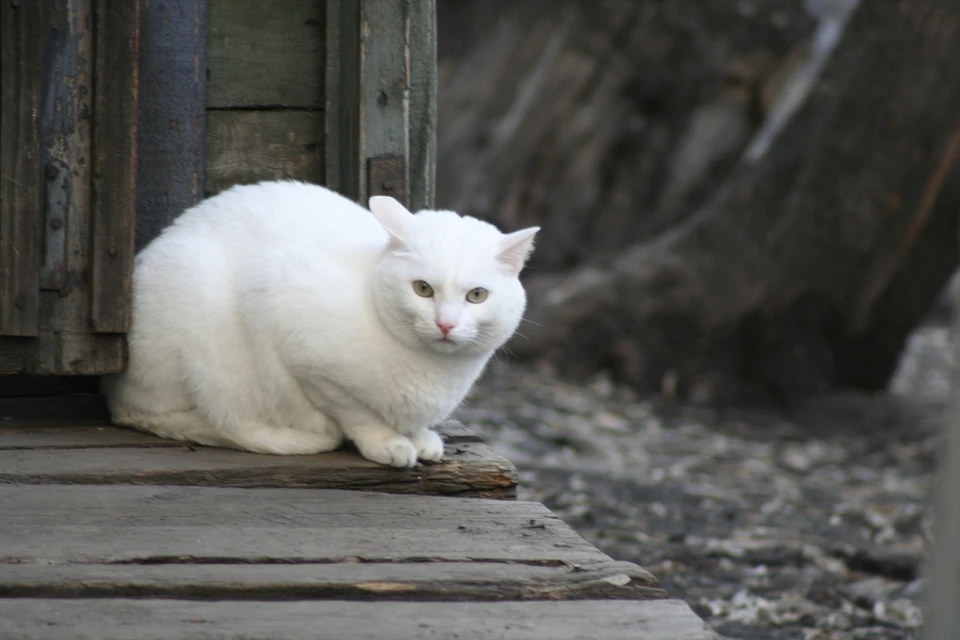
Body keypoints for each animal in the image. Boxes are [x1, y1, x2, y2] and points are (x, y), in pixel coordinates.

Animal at [104, 180, 540, 464]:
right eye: (422, 289)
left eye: (476, 296)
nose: (446, 325)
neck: (434, 374)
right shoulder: (304, 354)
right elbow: (357, 412)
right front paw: (387, 442)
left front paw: (418, 438)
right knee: (167, 414)